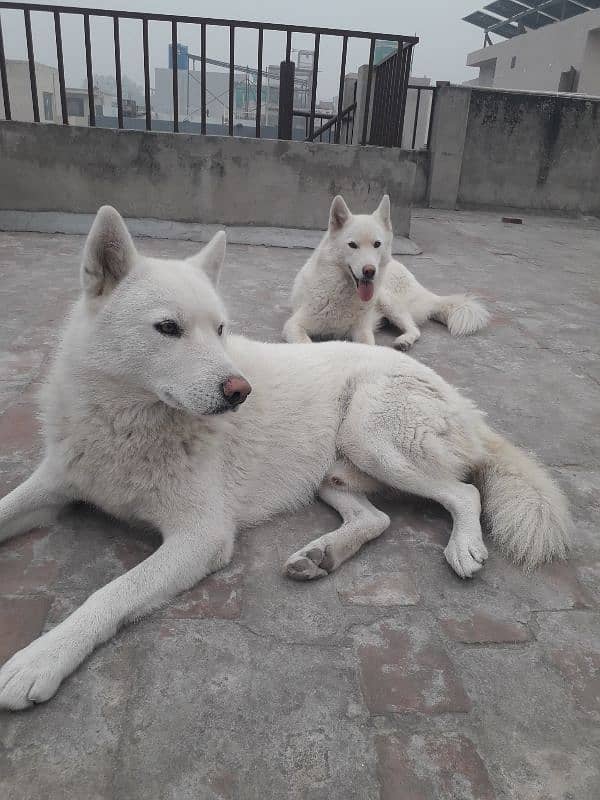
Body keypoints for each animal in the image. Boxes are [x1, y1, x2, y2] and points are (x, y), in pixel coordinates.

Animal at [284, 195, 490, 350]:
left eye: (377, 244)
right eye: (352, 245)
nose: (369, 271)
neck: (343, 294)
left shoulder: (362, 331)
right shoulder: (294, 325)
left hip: (388, 300)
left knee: (415, 329)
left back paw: (404, 341)